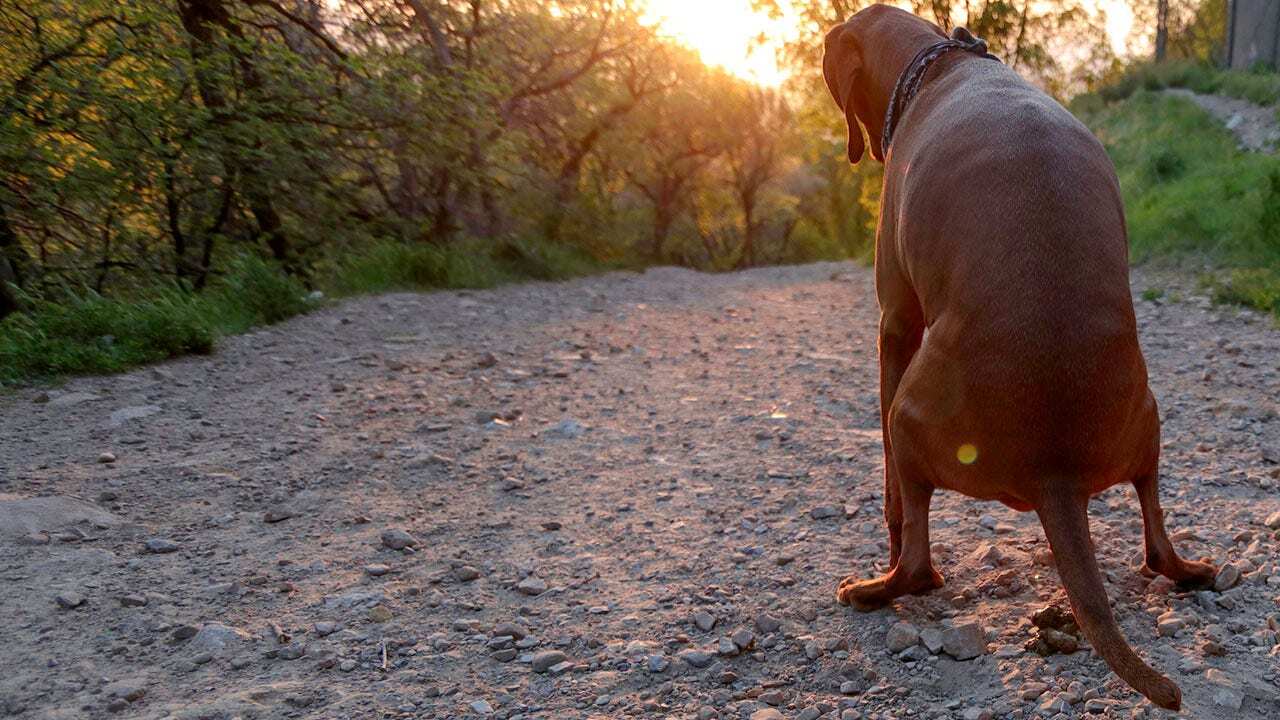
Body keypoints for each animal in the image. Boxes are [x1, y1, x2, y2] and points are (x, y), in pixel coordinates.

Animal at [824, 5, 1213, 707]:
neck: (940, 61)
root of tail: (1055, 471)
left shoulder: (895, 324)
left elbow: (893, 498)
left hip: (908, 414)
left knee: (917, 561)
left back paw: (882, 588)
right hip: (1148, 417)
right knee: (1155, 527)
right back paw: (1190, 568)